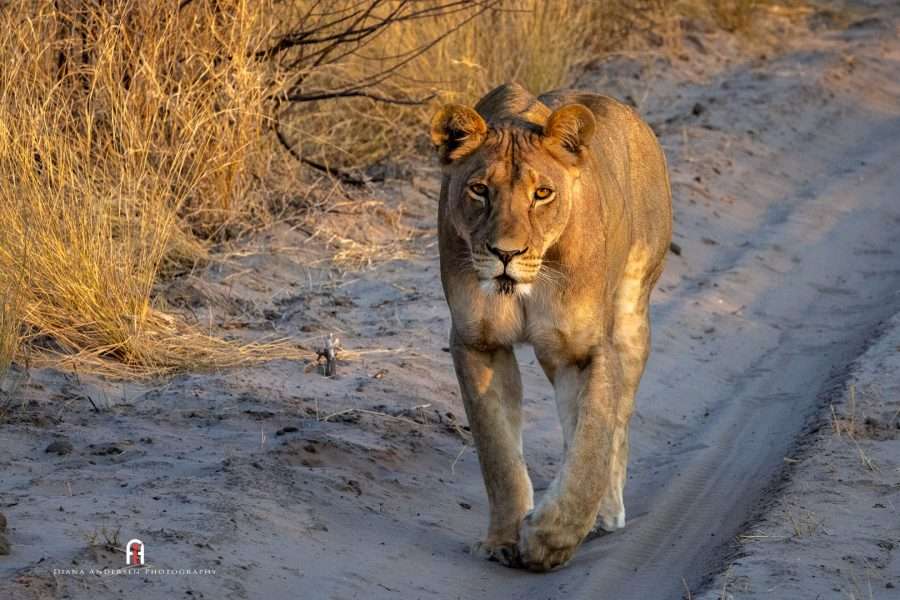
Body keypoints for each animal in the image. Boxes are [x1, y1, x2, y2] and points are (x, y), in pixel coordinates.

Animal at [430, 82, 672, 571]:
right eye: (479, 190)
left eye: (542, 193)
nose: (506, 253)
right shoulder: (478, 342)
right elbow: (499, 455)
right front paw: (504, 540)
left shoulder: (585, 351)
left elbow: (592, 447)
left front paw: (548, 541)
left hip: (632, 315)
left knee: (617, 423)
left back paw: (606, 514)